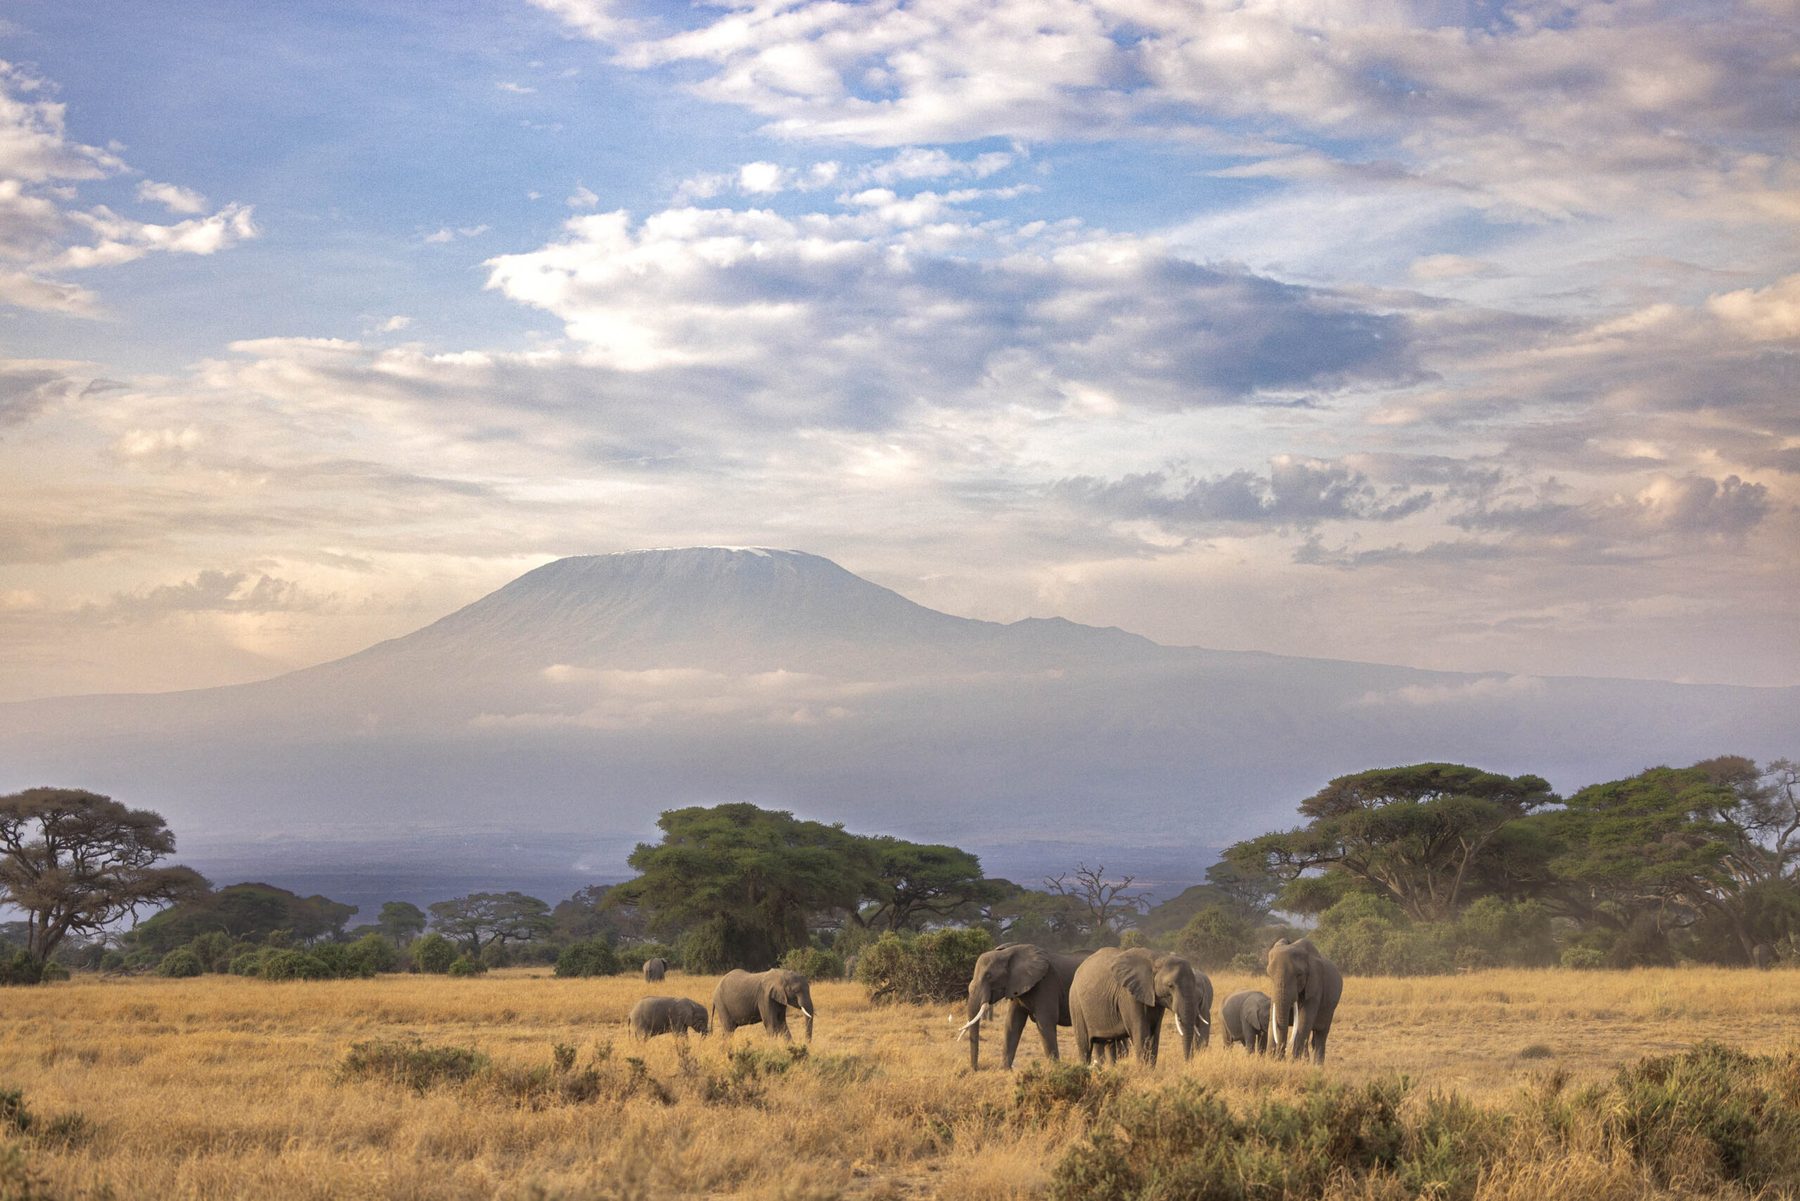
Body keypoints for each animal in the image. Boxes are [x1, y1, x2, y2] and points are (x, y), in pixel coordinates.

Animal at [957, 942, 1088, 1070]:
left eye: (989, 975)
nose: (975, 1069)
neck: (1009, 952)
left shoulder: (1046, 983)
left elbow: (1045, 1022)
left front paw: (1055, 1069)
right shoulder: (1016, 987)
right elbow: (1012, 1023)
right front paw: (1005, 1070)